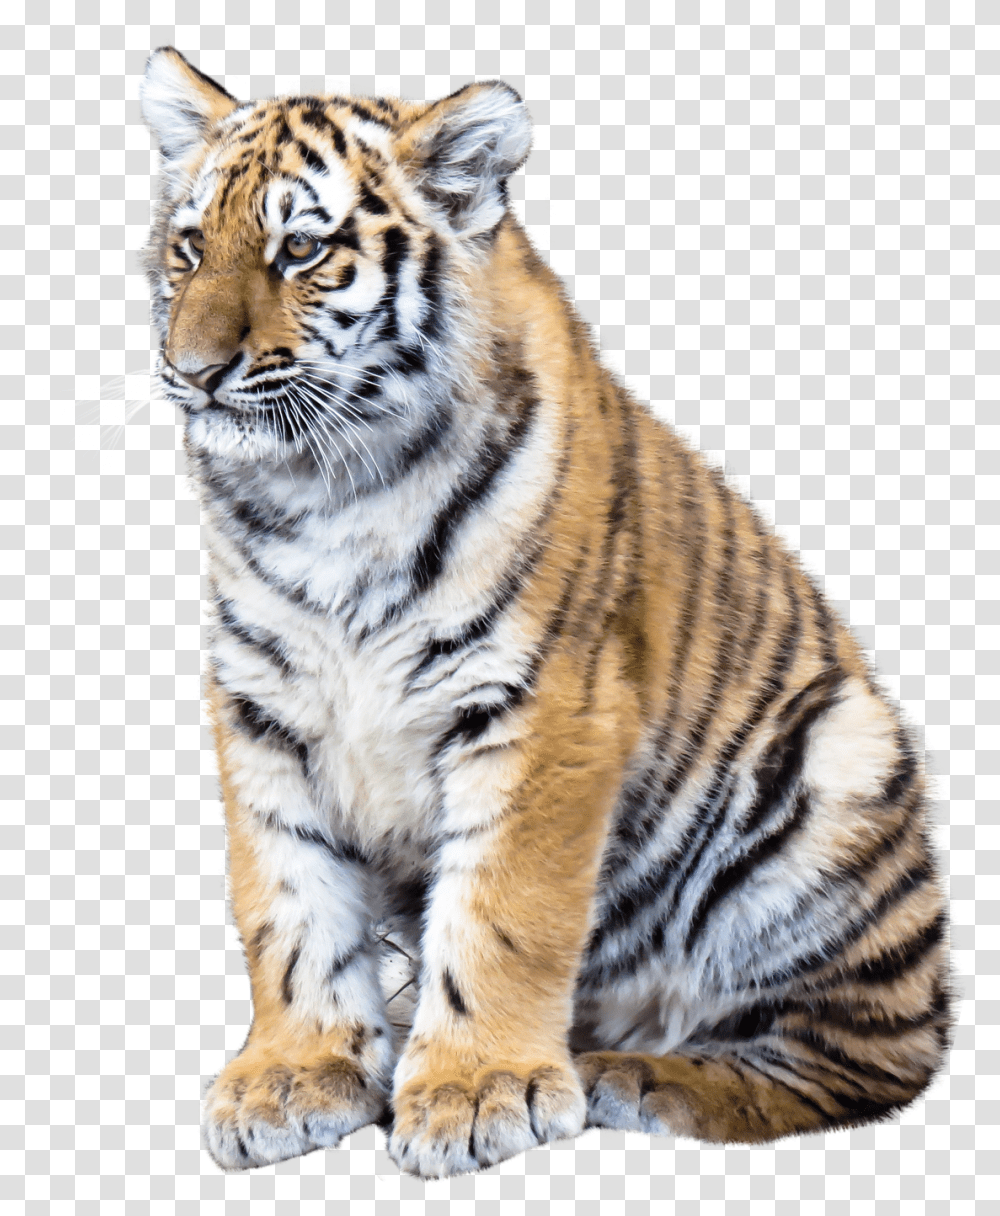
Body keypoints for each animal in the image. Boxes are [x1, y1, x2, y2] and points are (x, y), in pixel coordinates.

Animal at [139, 47, 951, 1178]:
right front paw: (295, 1076)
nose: (192, 372)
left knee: (862, 1055)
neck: (325, 495)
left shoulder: (540, 706)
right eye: (187, 247)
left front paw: (476, 1092)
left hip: (838, 766)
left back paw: (636, 1075)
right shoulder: (262, 705)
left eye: (301, 248)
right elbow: (287, 901)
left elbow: (502, 911)